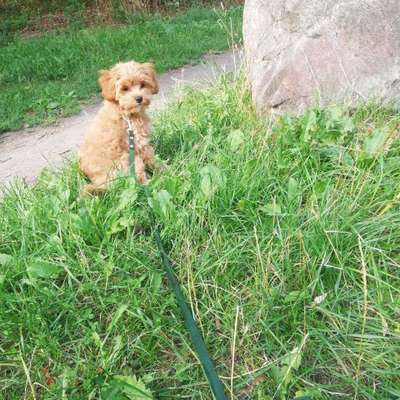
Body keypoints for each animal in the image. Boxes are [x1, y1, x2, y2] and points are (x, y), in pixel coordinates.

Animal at [79, 61, 159, 194]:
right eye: (125, 88)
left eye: (142, 84)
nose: (139, 98)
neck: (125, 115)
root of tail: (104, 184)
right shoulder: (136, 144)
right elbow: (149, 161)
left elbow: (152, 158)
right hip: (126, 160)